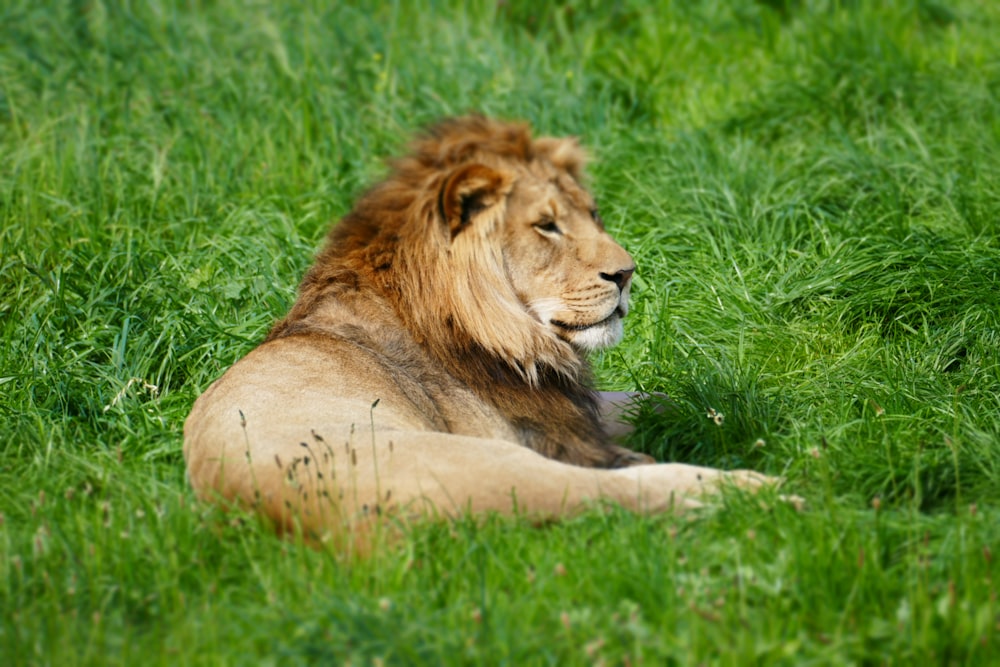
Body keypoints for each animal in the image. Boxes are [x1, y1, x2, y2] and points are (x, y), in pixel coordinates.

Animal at [182, 116, 772, 544]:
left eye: (593, 214)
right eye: (546, 226)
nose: (627, 274)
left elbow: (658, 399)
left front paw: (724, 412)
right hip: (485, 464)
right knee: (621, 492)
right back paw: (760, 491)